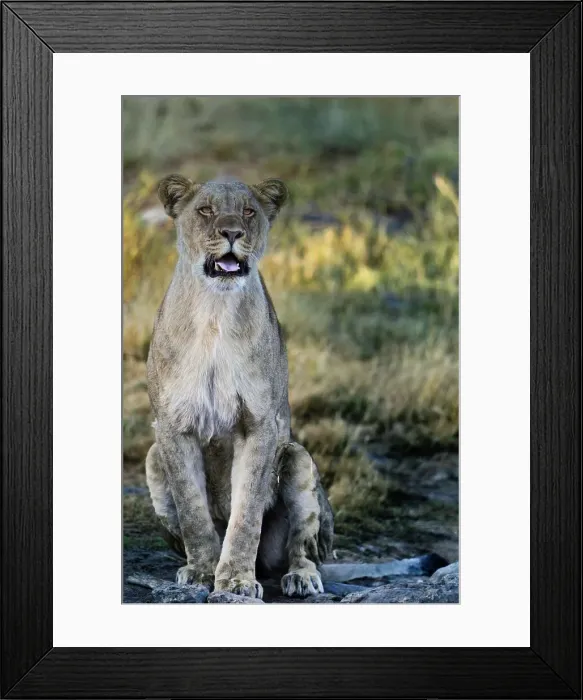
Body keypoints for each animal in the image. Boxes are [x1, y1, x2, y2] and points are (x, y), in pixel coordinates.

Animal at [145, 174, 334, 599]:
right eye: (205, 210)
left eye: (248, 211)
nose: (232, 232)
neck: (216, 312)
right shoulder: (172, 426)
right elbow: (193, 511)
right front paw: (202, 573)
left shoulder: (259, 423)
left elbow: (246, 514)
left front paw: (235, 582)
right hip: (152, 458)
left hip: (297, 457)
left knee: (303, 546)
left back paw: (301, 578)